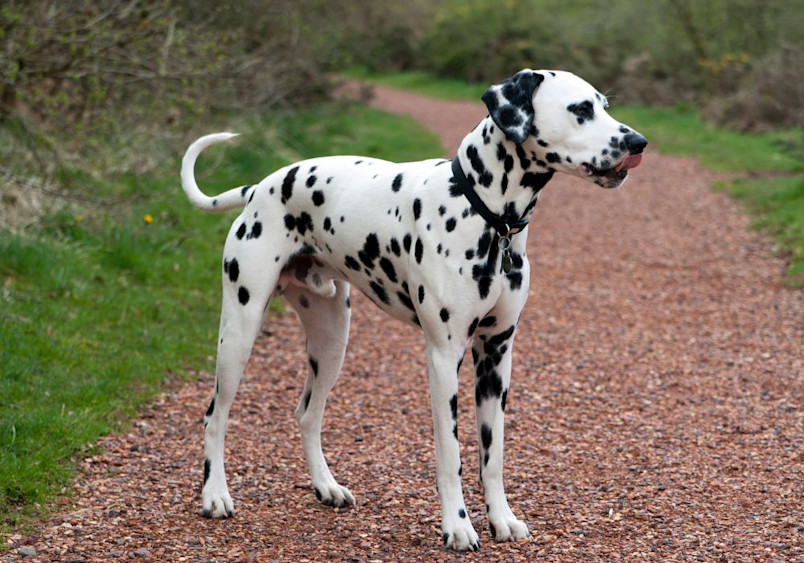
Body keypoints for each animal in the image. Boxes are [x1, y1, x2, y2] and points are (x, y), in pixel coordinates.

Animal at [181, 69, 648, 552]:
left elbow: (492, 454)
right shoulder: (444, 358)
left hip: (332, 339)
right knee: (215, 416)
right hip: (240, 329)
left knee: (307, 414)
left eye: (605, 105)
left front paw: (501, 519)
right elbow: (451, 454)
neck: (485, 213)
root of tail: (261, 187)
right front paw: (458, 526)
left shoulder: (496, 356)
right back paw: (215, 495)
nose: (639, 143)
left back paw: (326, 487)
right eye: (581, 110)